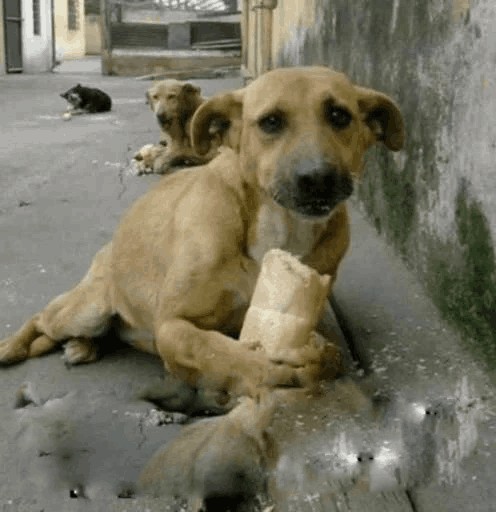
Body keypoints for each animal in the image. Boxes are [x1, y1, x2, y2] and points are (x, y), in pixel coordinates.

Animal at [0, 65, 404, 400]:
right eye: (271, 121)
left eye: (339, 115)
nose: (318, 178)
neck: (278, 228)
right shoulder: (172, 326)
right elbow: (225, 354)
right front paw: (277, 374)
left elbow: (332, 355)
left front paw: (315, 360)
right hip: (87, 307)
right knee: (40, 318)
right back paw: (13, 347)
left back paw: (83, 346)